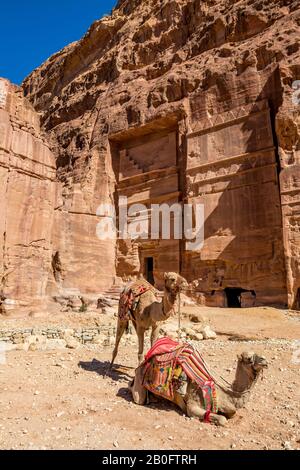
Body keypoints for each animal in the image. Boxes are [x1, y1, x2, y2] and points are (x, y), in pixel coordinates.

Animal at [129, 348, 268, 426]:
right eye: (248, 358)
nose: (265, 360)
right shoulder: (193, 405)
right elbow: (222, 419)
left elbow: (232, 412)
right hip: (139, 384)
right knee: (138, 396)